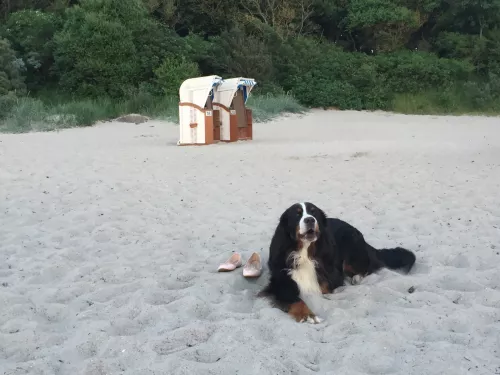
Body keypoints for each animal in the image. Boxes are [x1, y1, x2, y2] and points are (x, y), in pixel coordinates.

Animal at [260, 203, 416, 324]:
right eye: (297, 215)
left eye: (314, 212)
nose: (310, 220)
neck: (305, 252)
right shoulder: (281, 283)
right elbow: (296, 300)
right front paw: (309, 315)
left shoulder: (331, 276)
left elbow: (323, 287)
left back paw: (357, 277)